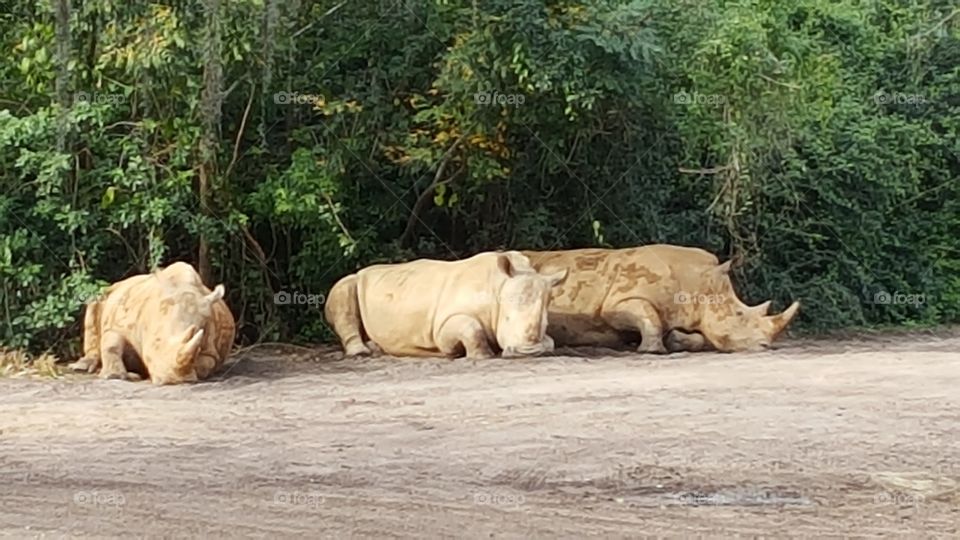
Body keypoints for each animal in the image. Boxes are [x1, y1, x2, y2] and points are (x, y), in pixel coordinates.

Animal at [69, 262, 236, 384]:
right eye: (157, 341)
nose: (172, 380)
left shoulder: (211, 349)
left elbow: (204, 363)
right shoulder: (118, 324)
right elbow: (111, 343)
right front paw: (114, 376)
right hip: (109, 291)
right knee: (95, 301)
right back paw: (80, 368)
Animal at [328, 252, 568, 358]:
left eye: (545, 324)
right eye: (507, 320)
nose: (529, 352)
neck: (497, 286)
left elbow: (552, 341)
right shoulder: (441, 327)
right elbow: (470, 328)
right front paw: (483, 356)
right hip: (351, 281)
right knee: (344, 289)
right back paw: (361, 353)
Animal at [520, 246, 800, 354]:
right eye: (740, 316)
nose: (766, 346)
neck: (699, 282)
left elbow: (698, 337)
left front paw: (674, 340)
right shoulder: (617, 303)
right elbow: (648, 316)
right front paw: (652, 350)